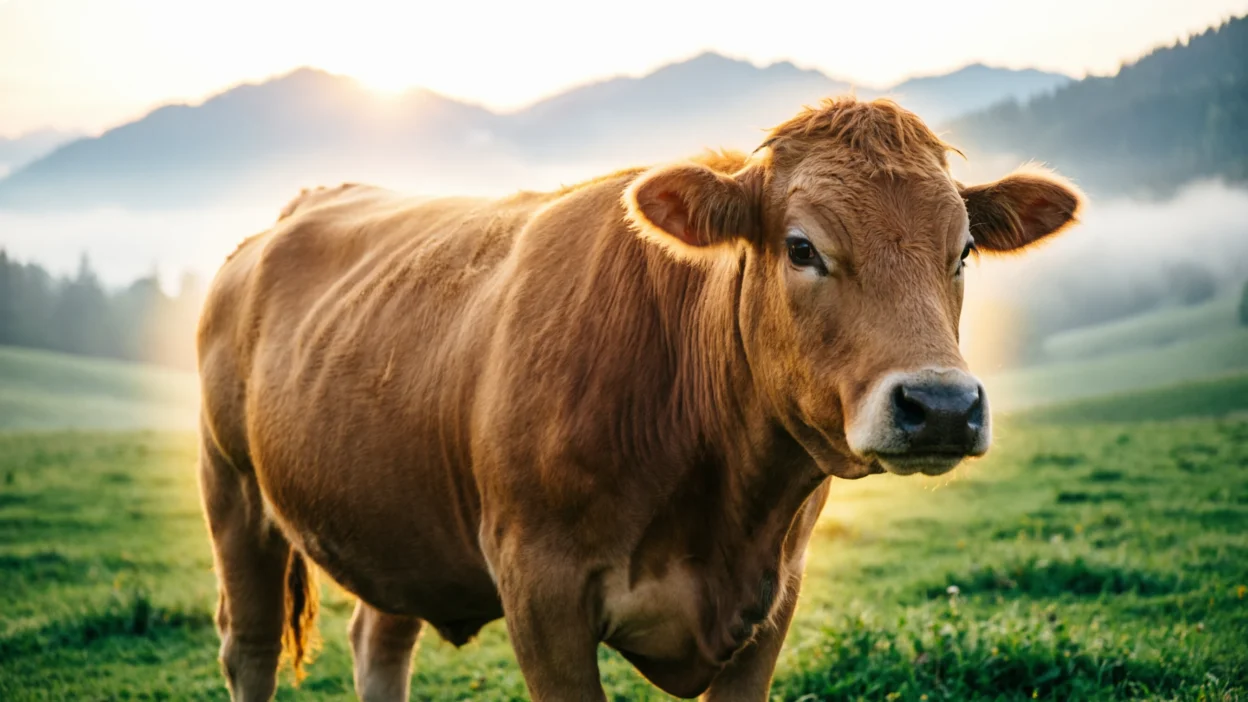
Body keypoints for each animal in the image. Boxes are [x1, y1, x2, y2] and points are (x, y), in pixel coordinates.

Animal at [196, 97, 1081, 701]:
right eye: (802, 248)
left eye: (962, 250)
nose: (941, 405)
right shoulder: (541, 590)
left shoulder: (773, 601)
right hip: (233, 489)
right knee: (250, 646)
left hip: (396, 518)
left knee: (380, 640)